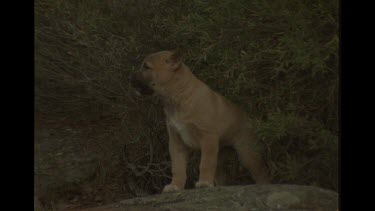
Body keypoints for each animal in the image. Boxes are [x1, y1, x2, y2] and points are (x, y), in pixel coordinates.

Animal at [129, 50, 270, 192]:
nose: (130, 79)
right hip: (220, 153)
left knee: (261, 172)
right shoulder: (176, 142)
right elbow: (178, 167)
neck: (178, 97)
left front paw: (204, 183)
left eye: (146, 67)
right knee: (221, 175)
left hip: (247, 154)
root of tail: (253, 120)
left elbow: (205, 164)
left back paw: (263, 185)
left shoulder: (207, 137)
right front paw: (175, 185)